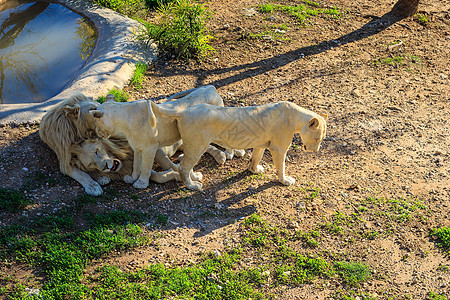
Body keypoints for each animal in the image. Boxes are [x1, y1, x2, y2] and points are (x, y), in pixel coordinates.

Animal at [150, 101, 326, 190]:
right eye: (317, 139)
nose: (316, 150)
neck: (297, 119)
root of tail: (184, 112)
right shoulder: (278, 148)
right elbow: (281, 166)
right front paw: (285, 180)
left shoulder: (261, 144)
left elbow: (256, 157)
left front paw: (254, 170)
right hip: (197, 144)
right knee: (184, 166)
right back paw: (192, 185)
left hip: (193, 145)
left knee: (184, 164)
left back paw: (195, 177)